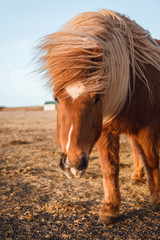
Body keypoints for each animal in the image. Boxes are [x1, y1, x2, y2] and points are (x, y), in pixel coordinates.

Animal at [37, 10, 160, 224]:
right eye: (56, 98)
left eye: (97, 97)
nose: (72, 165)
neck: (131, 85)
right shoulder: (106, 130)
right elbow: (110, 168)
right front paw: (110, 209)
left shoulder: (148, 125)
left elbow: (152, 160)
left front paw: (157, 199)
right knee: (137, 151)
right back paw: (136, 177)